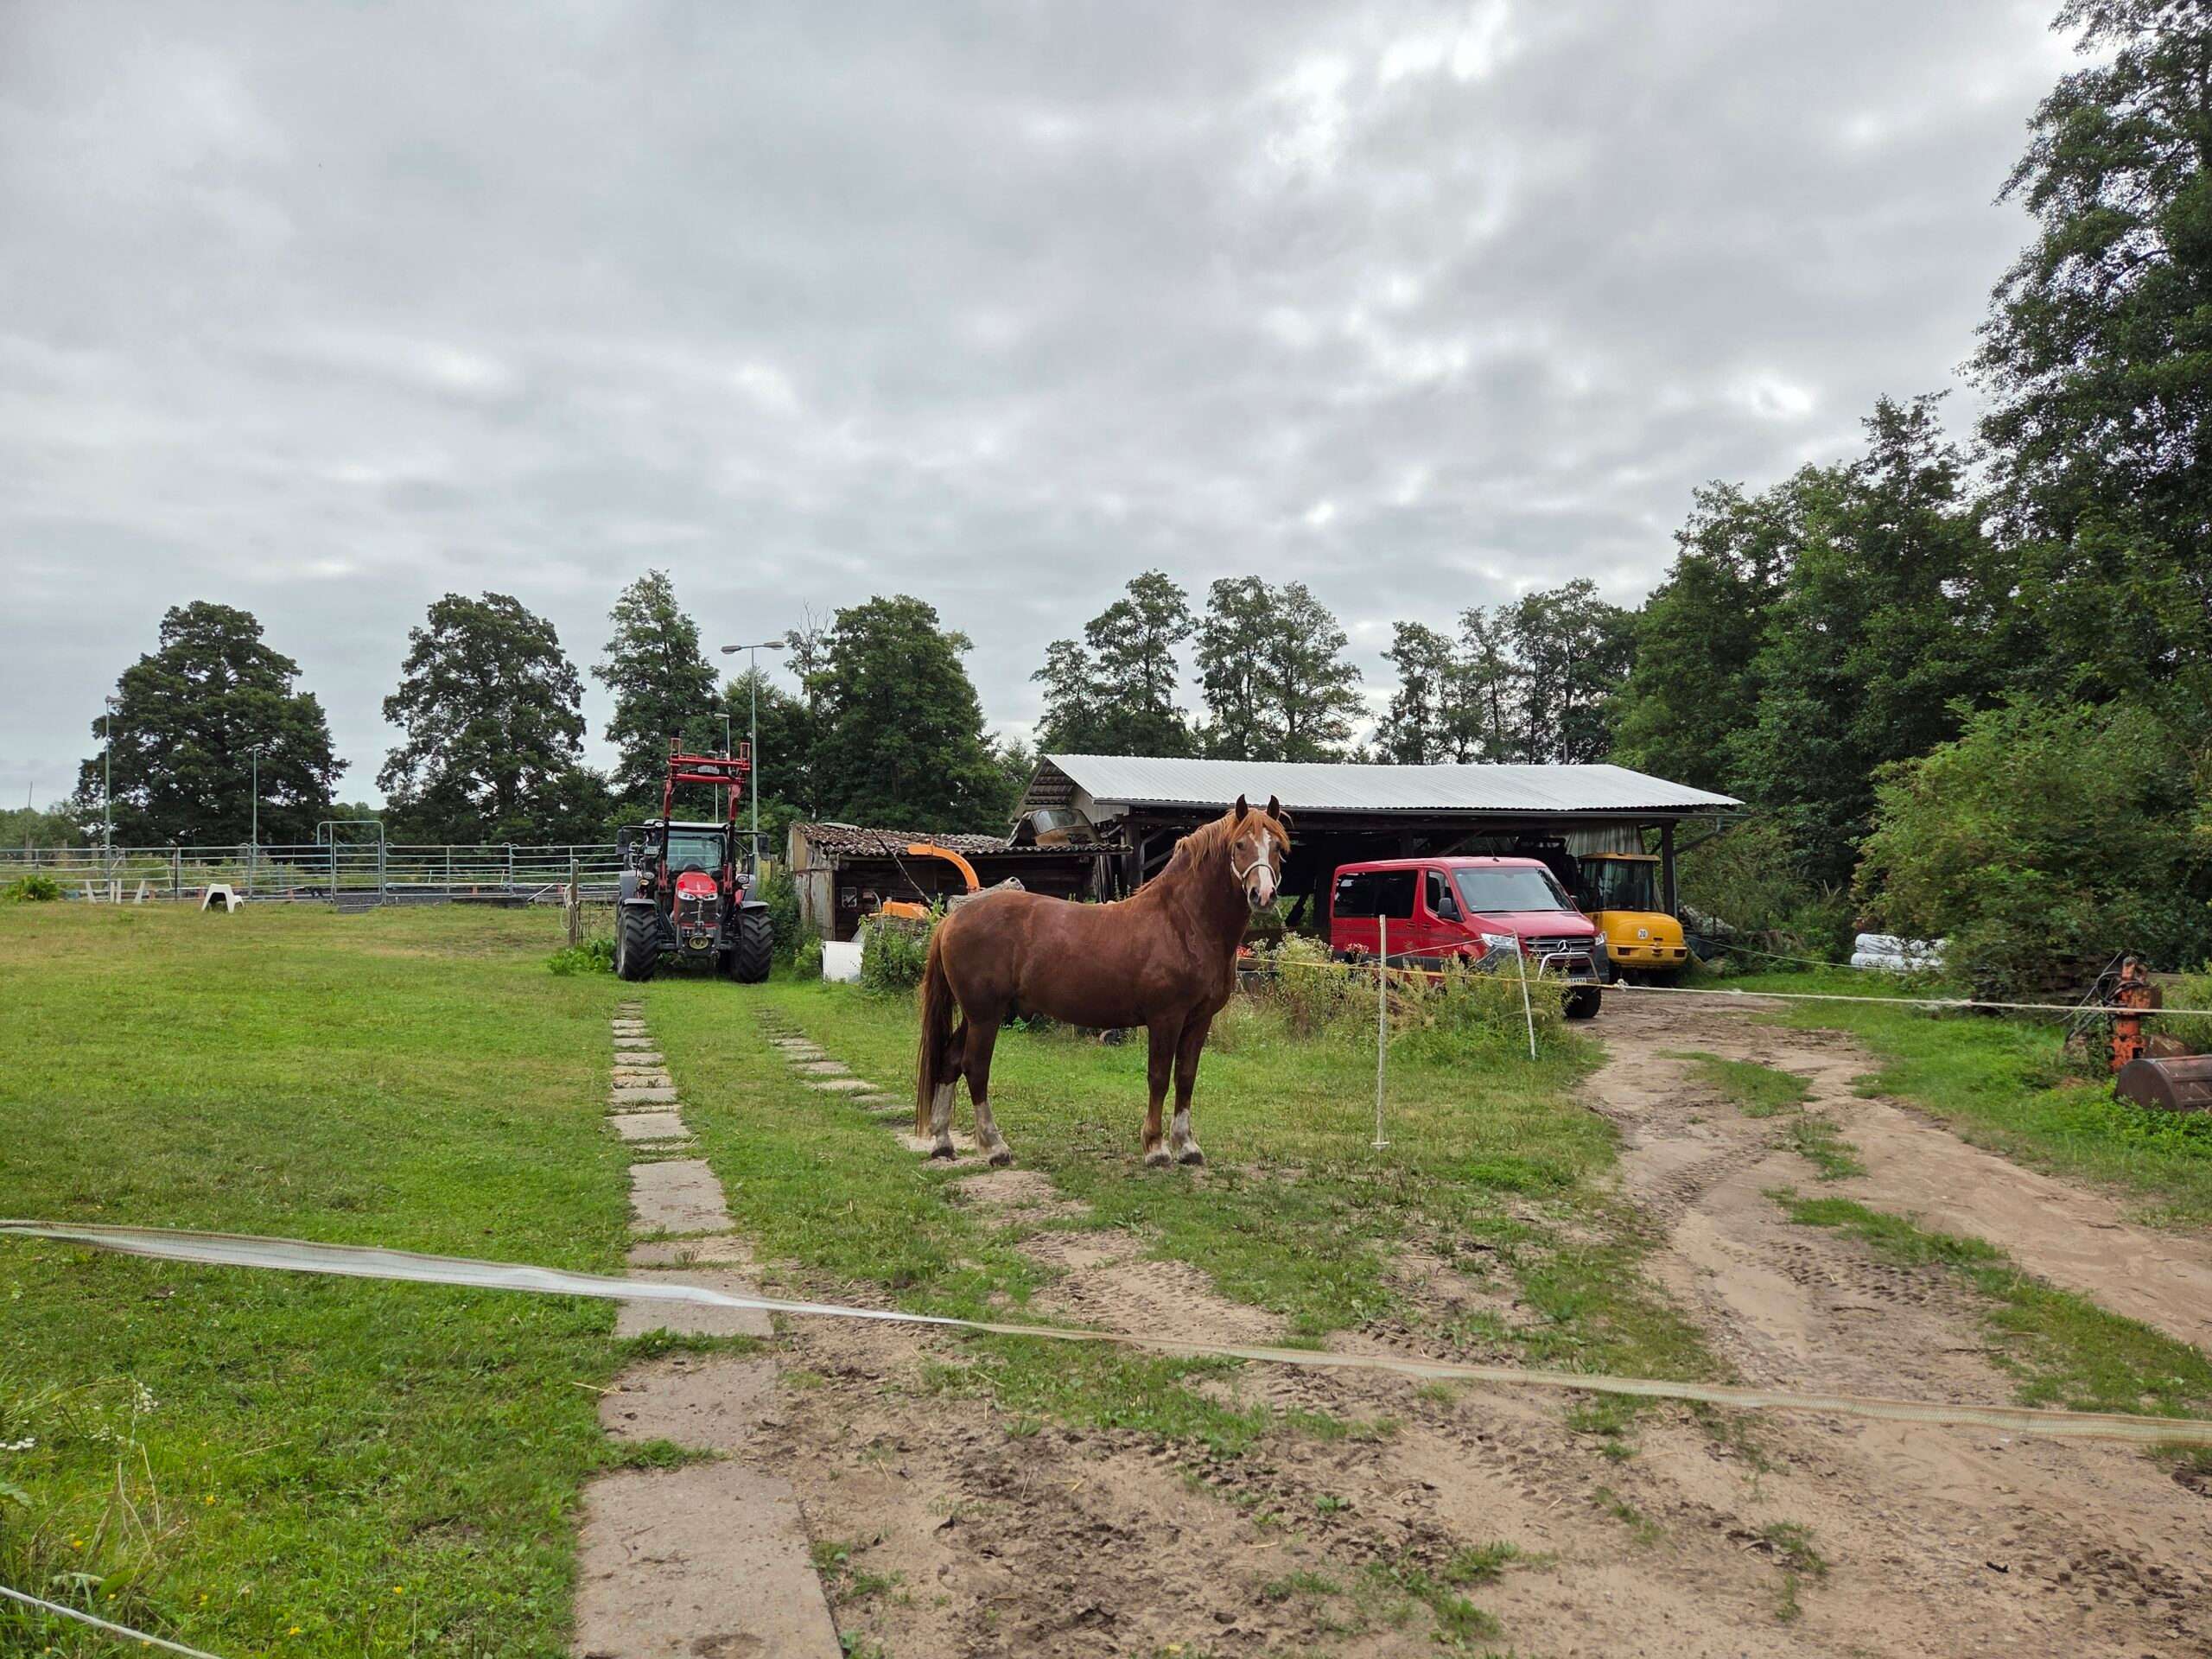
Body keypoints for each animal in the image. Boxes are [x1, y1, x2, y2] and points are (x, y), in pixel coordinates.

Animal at [914, 794, 1290, 1169]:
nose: (1263, 895)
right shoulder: (1165, 1018)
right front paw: (1155, 1148)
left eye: (1277, 847)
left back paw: (943, 1142)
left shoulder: (1200, 1019)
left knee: (949, 1061)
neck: (1183, 924)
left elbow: (1186, 1077)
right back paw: (995, 1147)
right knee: (975, 1068)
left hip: (977, 1015)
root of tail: (952, 920)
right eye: (1240, 845)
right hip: (985, 1016)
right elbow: (1158, 1077)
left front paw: (1187, 1146)